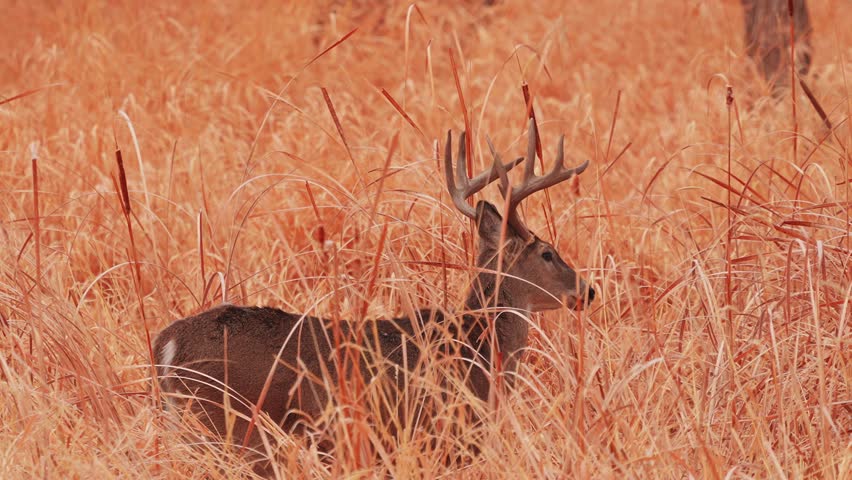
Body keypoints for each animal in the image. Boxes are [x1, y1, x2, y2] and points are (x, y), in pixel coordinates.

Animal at [153, 118, 594, 459]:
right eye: (548, 254)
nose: (587, 291)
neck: (478, 347)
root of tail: (167, 343)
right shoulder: (445, 430)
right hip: (236, 426)